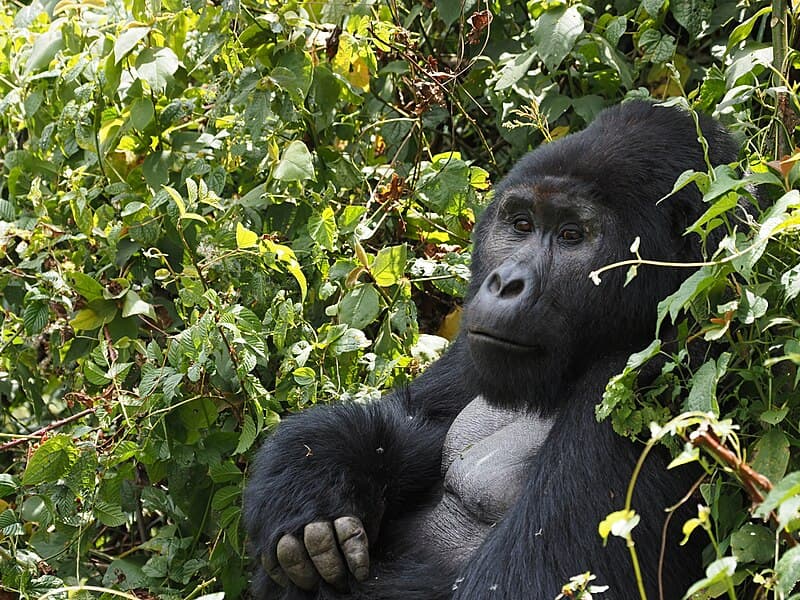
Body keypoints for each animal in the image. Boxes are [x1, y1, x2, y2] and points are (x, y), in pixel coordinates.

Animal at [242, 103, 736, 600]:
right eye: (521, 225)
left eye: (572, 235)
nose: (505, 283)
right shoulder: (472, 342)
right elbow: (408, 416)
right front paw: (315, 485)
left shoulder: (649, 384)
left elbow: (524, 582)